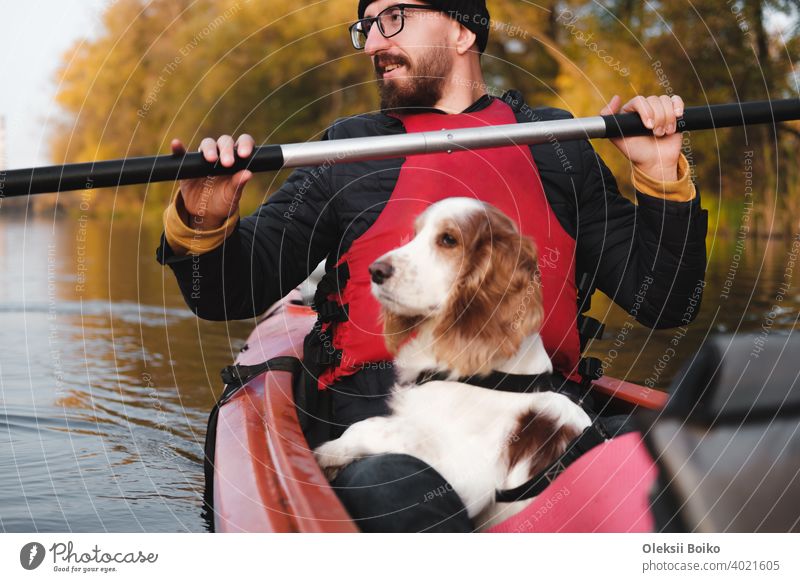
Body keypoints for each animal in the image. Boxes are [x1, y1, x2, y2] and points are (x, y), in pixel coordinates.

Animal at [314, 198, 592, 532]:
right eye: (416, 234)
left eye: (448, 240)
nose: (375, 271)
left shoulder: (470, 474)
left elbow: (376, 427)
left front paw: (328, 452)